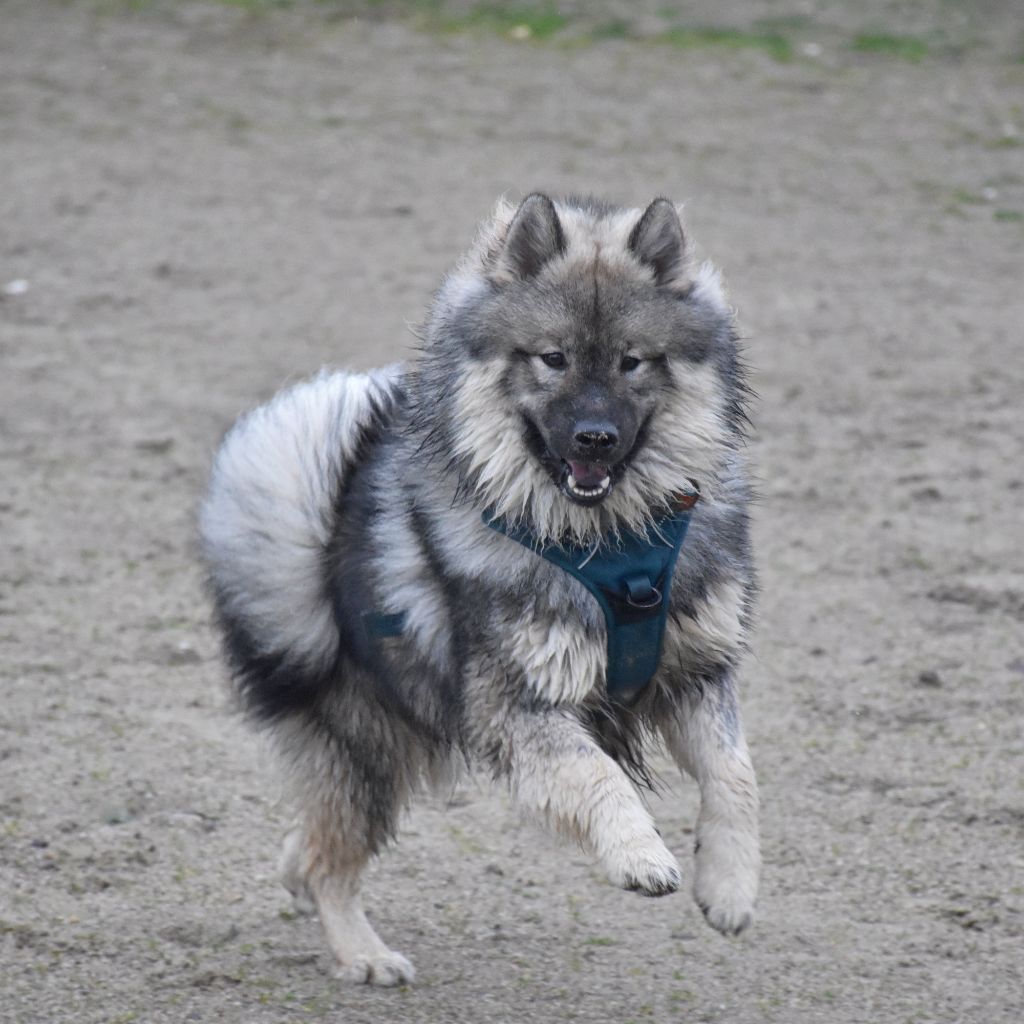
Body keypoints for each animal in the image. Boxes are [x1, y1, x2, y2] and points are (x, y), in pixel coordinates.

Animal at [199, 192, 761, 983]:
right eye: (553, 359)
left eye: (632, 362)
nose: (594, 437)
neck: (609, 543)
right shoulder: (521, 705)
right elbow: (597, 775)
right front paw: (641, 854)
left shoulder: (697, 672)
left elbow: (737, 776)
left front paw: (732, 887)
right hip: (366, 751)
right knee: (327, 862)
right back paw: (365, 955)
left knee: (308, 849)